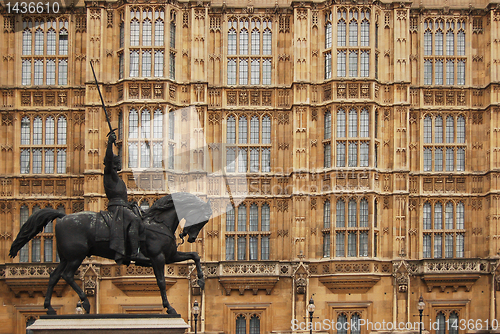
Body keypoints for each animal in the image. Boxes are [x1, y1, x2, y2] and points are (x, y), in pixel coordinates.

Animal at [8, 192, 211, 314]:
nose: (191, 238)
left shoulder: (169, 256)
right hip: (76, 256)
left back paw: (49, 308)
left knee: (54, 276)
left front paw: (200, 280)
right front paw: (169, 308)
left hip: (66, 257)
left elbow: (195, 257)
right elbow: (161, 282)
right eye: (202, 220)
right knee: (67, 275)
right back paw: (85, 303)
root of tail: (63, 217)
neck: (158, 222)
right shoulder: (158, 258)